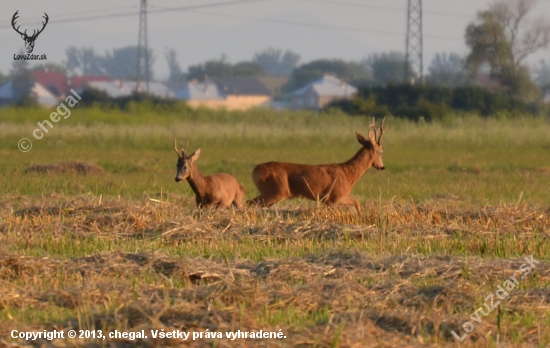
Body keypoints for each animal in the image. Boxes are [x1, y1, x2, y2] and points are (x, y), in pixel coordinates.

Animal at [248, 118, 386, 212]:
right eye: (381, 152)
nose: (382, 167)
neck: (349, 174)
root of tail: (255, 171)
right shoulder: (335, 197)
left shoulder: (333, 198)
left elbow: (356, 202)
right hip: (277, 190)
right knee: (249, 203)